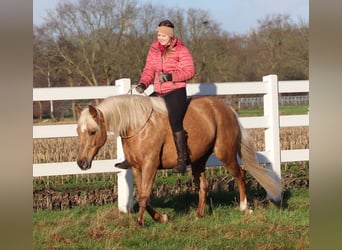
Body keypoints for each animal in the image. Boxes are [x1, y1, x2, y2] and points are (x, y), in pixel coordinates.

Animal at [76, 94, 282, 227]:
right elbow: (141, 195)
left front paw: (141, 223)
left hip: (226, 153)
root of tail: (227, 108)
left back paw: (244, 207)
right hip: (199, 160)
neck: (138, 126)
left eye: (92, 132)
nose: (81, 163)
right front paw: (162, 218)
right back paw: (199, 215)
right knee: (203, 186)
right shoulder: (136, 167)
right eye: (79, 131)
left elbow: (144, 195)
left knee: (241, 174)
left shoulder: (150, 165)